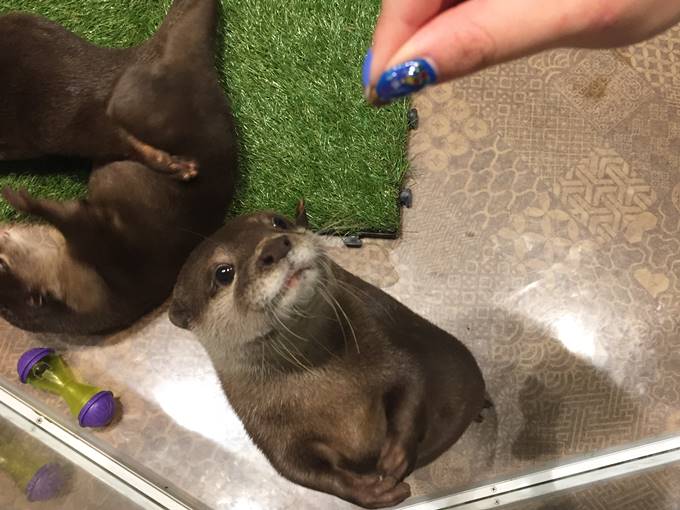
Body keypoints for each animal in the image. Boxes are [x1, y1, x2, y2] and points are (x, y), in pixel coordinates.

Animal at [168, 208, 487, 509]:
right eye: (223, 272)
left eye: (278, 222)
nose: (275, 246)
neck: (326, 386)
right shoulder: (269, 432)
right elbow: (297, 469)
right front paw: (370, 491)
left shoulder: (386, 345)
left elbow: (413, 382)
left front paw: (395, 456)